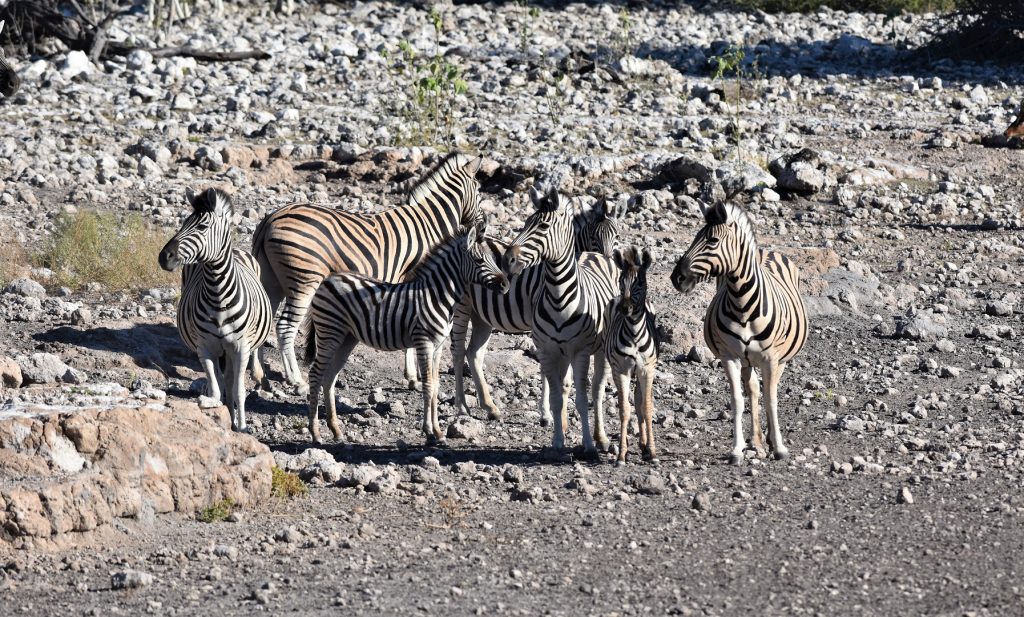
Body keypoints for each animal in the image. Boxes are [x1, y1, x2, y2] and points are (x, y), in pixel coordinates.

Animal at [157, 188, 274, 433]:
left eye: (202, 227)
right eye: (183, 223)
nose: (164, 257)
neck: (217, 293)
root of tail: (239, 249)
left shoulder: (241, 348)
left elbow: (238, 390)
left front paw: (242, 427)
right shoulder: (205, 348)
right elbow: (215, 389)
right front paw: (217, 417)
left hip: (234, 349)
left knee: (231, 382)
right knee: (224, 382)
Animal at [251, 154, 483, 394]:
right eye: (479, 190)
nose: (482, 229)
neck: (428, 224)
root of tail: (270, 220)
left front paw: (411, 375)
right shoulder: (414, 280)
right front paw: (413, 377)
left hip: (271, 281)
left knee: (265, 317)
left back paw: (261, 376)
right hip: (304, 281)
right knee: (285, 327)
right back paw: (296, 379)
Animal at [303, 224, 512, 446]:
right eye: (480, 260)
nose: (506, 285)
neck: (436, 295)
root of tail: (328, 279)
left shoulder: (438, 347)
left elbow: (436, 385)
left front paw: (437, 431)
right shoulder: (424, 342)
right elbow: (428, 386)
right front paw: (430, 432)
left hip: (346, 338)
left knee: (329, 378)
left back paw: (336, 430)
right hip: (330, 332)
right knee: (315, 374)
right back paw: (315, 433)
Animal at [671, 200, 806, 466]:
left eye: (712, 241)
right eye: (694, 238)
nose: (676, 278)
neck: (742, 302)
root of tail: (766, 251)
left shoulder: (771, 359)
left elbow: (771, 399)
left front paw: (780, 447)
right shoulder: (729, 357)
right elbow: (738, 400)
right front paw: (737, 449)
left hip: (781, 358)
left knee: (768, 389)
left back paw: (769, 440)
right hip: (746, 360)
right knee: (752, 389)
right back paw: (757, 441)